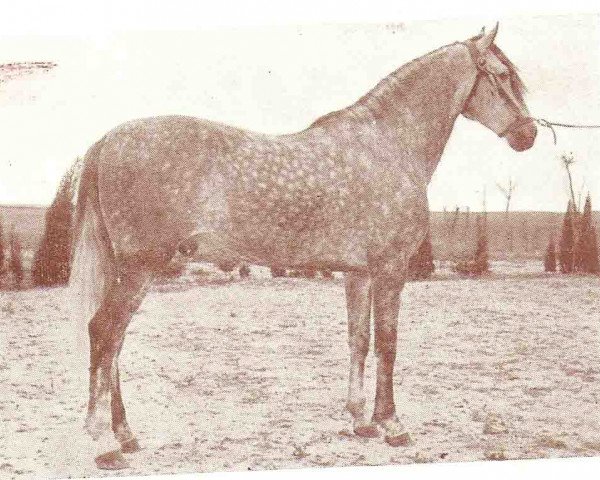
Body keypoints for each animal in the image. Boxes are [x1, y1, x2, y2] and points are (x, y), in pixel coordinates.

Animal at [71, 25, 540, 468]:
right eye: (502, 76)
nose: (529, 134)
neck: (388, 143)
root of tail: (108, 140)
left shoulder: (358, 273)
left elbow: (359, 340)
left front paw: (360, 421)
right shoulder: (390, 269)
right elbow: (388, 343)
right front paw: (391, 424)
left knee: (115, 343)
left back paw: (126, 435)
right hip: (141, 267)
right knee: (104, 332)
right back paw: (103, 443)